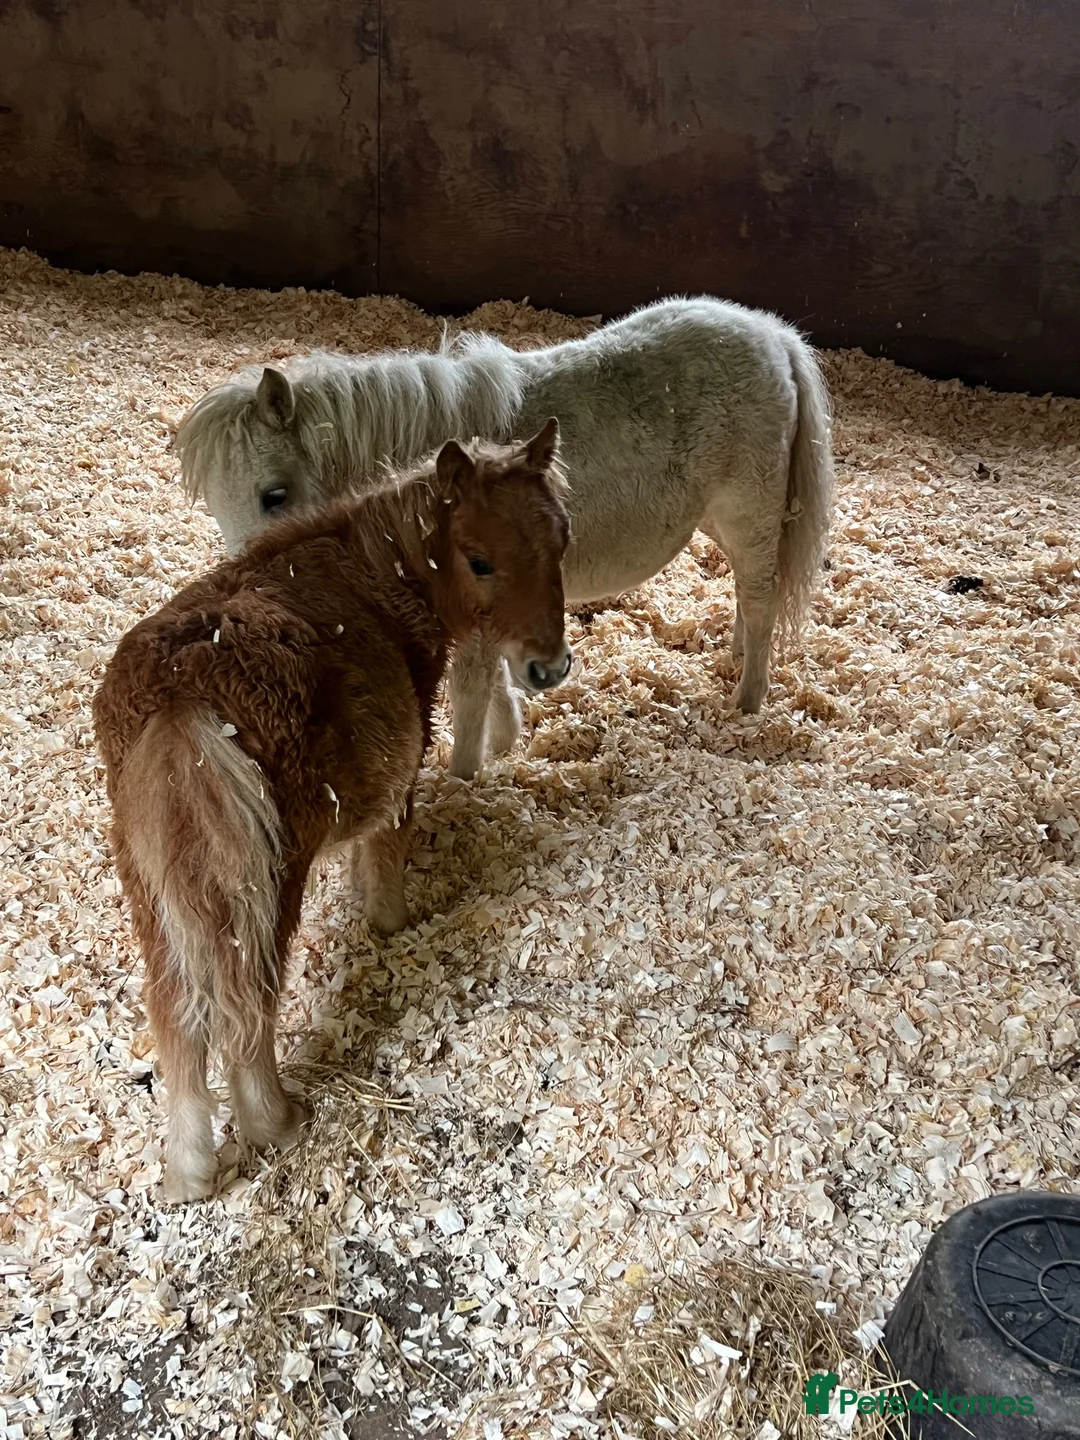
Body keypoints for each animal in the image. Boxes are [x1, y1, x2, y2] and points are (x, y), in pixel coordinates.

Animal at [93, 421, 570, 1202]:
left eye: (560, 539)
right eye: (479, 561)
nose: (548, 668)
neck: (375, 571)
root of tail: (181, 700)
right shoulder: (401, 773)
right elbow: (385, 855)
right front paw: (393, 923)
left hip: (152, 885)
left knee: (175, 1016)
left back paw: (189, 1170)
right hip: (265, 882)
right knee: (248, 1003)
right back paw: (275, 1121)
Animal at [175, 295, 834, 779]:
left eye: (274, 495)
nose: (252, 594)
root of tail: (773, 335)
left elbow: (470, 697)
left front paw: (465, 778)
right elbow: (491, 685)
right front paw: (505, 742)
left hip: (750, 514)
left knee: (761, 598)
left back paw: (747, 703)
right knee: (749, 596)